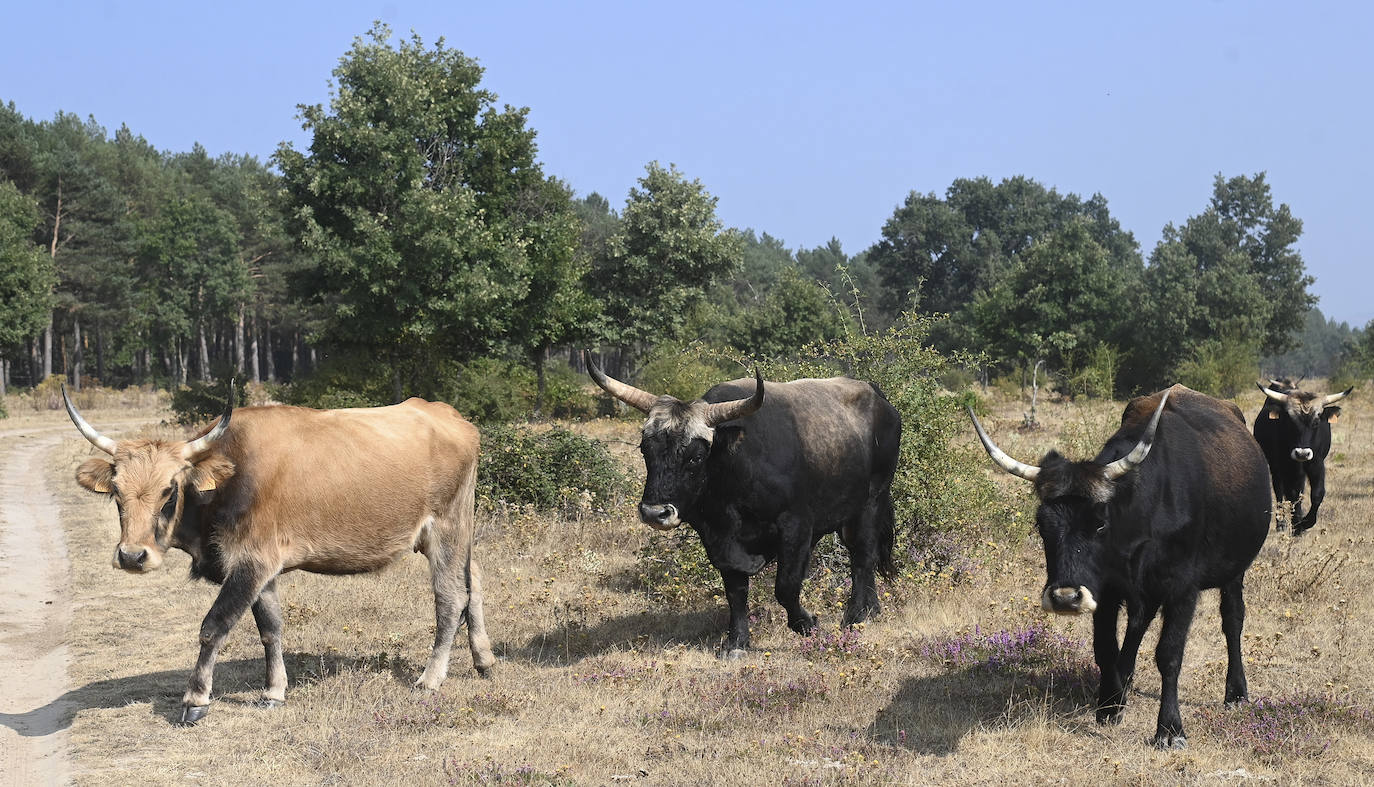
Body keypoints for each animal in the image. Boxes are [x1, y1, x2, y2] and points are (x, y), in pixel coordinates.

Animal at [64, 387, 497, 725]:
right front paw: (274, 692)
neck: (230, 478)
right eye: (116, 491)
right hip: (459, 533)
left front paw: (196, 699)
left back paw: (430, 679)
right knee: (473, 581)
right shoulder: (262, 570)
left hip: (446, 530)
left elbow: (214, 626)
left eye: (170, 490)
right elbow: (270, 629)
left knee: (450, 598)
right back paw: (484, 660)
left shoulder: (251, 562)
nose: (132, 556)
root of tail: (447, 415)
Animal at [588, 351, 901, 653]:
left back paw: (855, 616)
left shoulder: (797, 526)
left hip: (871, 501)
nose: (655, 513)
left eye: (696, 457)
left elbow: (786, 587)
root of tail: (878, 397)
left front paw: (809, 625)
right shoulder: (721, 541)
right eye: (645, 450)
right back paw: (872, 609)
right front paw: (737, 642)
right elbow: (735, 591)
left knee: (863, 556)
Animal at [967, 387, 1264, 747]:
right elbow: (1105, 648)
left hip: (1235, 571)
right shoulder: (1107, 590)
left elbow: (1169, 654)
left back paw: (1236, 692)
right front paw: (1109, 705)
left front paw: (1170, 728)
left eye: (1099, 524)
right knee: (1138, 623)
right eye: (1041, 525)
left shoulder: (1182, 589)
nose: (1065, 598)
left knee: (1232, 620)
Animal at [1258, 379, 1352, 532]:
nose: (1302, 453)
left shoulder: (1317, 463)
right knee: (1279, 490)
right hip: (1275, 466)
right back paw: (1281, 523)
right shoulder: (1286, 465)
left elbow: (1317, 493)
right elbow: (1291, 494)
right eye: (1289, 420)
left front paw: (1305, 523)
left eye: (1316, 421)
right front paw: (1297, 524)